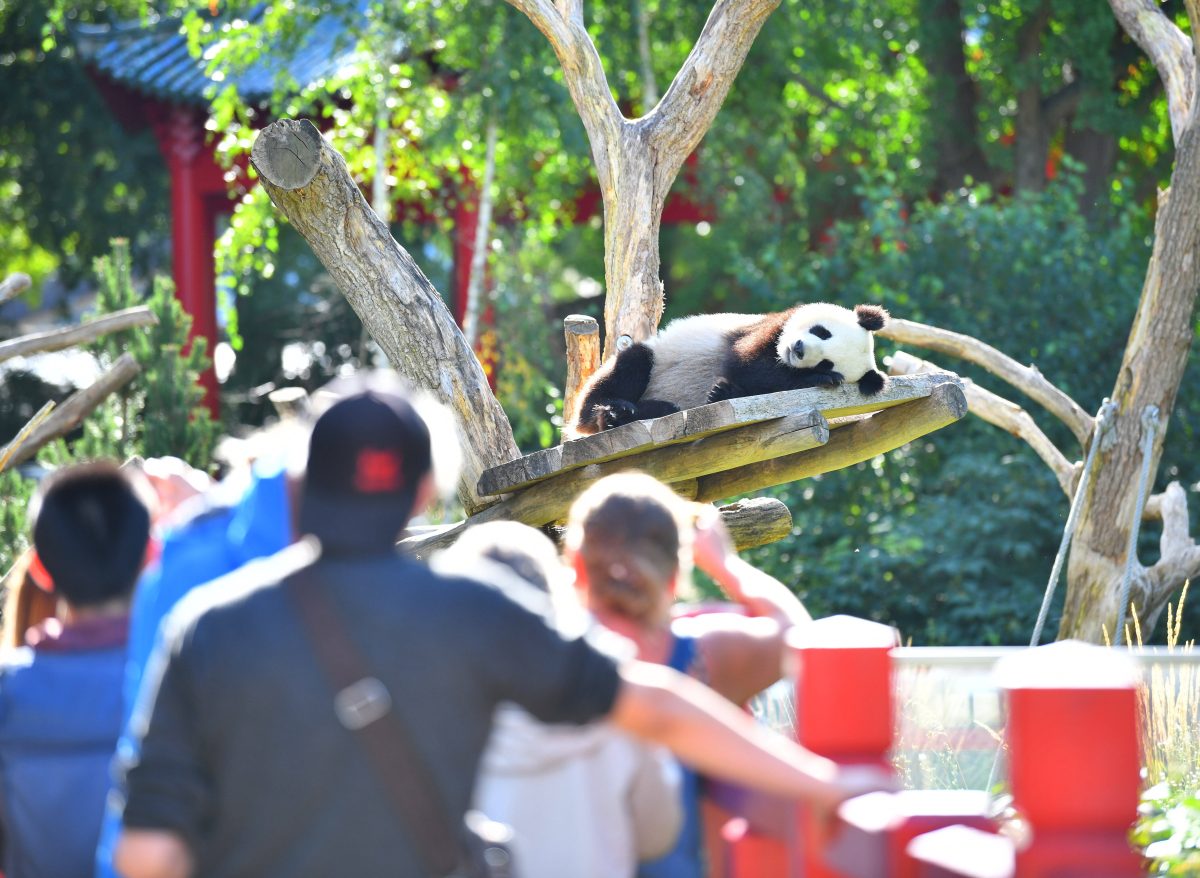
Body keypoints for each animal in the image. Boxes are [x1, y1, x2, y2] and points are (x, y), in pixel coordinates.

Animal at [571, 303, 892, 436]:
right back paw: (611, 412)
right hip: (654, 358)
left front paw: (722, 391)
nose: (798, 349)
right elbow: (749, 363)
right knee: (633, 363)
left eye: (828, 360)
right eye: (822, 332)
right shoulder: (771, 326)